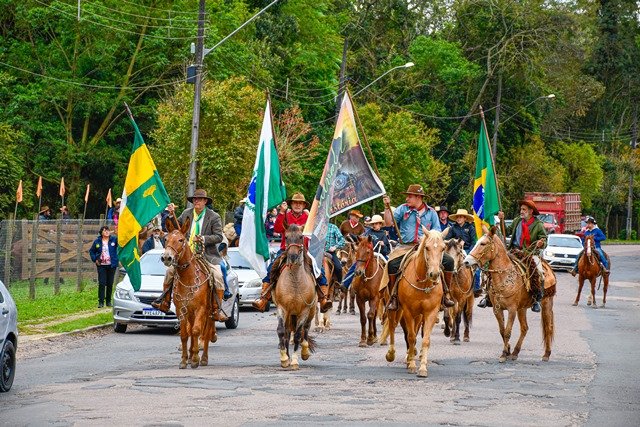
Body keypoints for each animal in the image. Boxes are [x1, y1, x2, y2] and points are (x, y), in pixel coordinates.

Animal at [161, 219, 216, 370]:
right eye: (166, 239)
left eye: (180, 240)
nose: (166, 257)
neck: (188, 278)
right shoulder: (181, 310)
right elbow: (185, 334)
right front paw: (185, 360)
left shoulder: (201, 309)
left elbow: (196, 331)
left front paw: (196, 358)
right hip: (190, 313)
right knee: (191, 330)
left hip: (209, 312)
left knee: (206, 332)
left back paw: (204, 358)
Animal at [272, 226, 318, 370]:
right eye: (286, 237)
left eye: (300, 236)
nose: (292, 256)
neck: (295, 282)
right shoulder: (282, 308)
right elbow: (281, 331)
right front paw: (284, 359)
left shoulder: (304, 311)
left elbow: (298, 335)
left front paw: (295, 361)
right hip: (290, 315)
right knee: (287, 332)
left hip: (311, 311)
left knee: (305, 330)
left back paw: (305, 352)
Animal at [384, 227, 450, 378]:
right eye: (427, 247)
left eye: (443, 248)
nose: (434, 274)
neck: (423, 283)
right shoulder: (408, 311)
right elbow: (411, 336)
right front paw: (413, 365)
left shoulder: (430, 312)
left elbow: (425, 339)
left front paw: (422, 368)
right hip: (395, 309)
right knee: (392, 326)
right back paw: (391, 354)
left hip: (418, 315)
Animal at [464, 226, 556, 362]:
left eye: (483, 243)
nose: (466, 262)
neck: (504, 278)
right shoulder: (497, 309)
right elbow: (502, 331)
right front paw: (507, 351)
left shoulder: (512, 309)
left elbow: (507, 331)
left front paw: (503, 354)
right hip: (522, 308)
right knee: (524, 328)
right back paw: (515, 352)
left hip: (546, 303)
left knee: (548, 327)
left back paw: (547, 354)